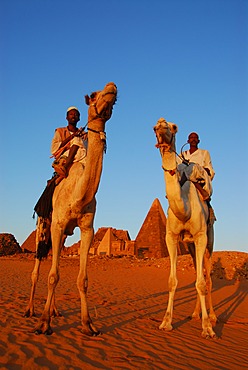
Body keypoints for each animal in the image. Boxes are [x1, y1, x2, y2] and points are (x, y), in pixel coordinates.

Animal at [26, 82, 117, 336]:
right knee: (38, 269)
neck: (78, 195)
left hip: (64, 234)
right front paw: (43, 324)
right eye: (94, 95)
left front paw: (88, 324)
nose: (112, 87)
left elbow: (82, 279)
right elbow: (52, 276)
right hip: (43, 226)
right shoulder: (56, 225)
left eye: (115, 100)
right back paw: (31, 310)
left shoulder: (87, 229)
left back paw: (55, 310)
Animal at [154, 118, 216, 338]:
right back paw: (195, 314)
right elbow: (173, 281)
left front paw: (207, 328)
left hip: (209, 242)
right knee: (199, 273)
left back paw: (212, 317)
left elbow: (201, 283)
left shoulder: (200, 237)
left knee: (207, 278)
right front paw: (166, 322)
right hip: (189, 247)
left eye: (173, 127)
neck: (185, 208)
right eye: (154, 128)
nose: (161, 125)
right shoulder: (171, 237)